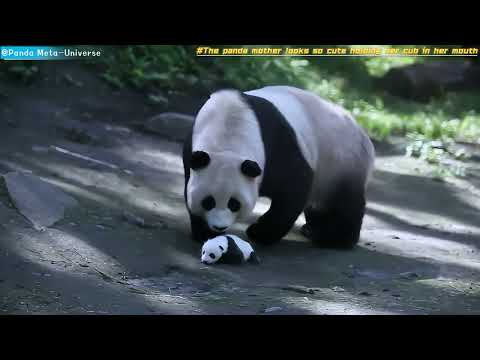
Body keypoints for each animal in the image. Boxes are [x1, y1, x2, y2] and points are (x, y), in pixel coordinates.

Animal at [183, 86, 376, 249]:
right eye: (208, 201)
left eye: (234, 203)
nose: (219, 227)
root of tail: (363, 133)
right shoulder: (191, 148)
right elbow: (188, 185)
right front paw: (204, 231)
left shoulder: (279, 145)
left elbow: (293, 188)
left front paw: (259, 232)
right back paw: (312, 227)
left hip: (343, 162)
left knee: (345, 203)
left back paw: (331, 236)